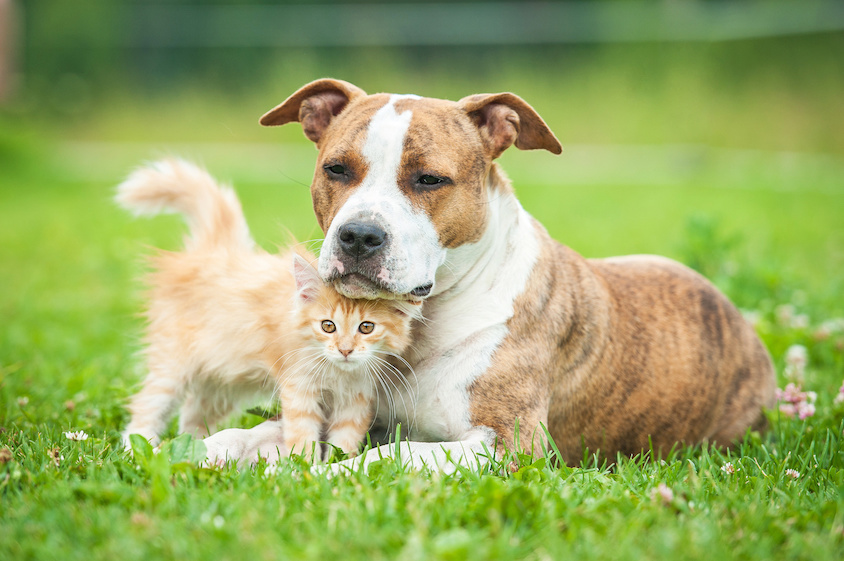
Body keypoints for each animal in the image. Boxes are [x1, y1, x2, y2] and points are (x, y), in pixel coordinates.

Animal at [118, 160, 418, 458]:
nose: (345, 350)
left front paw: (336, 464)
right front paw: (306, 465)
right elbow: (303, 436)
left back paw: (194, 445)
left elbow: (343, 443)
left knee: (193, 415)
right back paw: (137, 448)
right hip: (173, 364)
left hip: (220, 378)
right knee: (147, 406)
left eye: (366, 328)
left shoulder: (356, 400)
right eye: (327, 326)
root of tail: (214, 250)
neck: (337, 373)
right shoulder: (298, 388)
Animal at [201, 79, 776, 468]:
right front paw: (192, 454)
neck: (421, 323)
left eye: (430, 179)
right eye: (336, 169)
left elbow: (391, 456)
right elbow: (243, 436)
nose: (359, 236)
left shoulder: (507, 444)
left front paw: (326, 476)